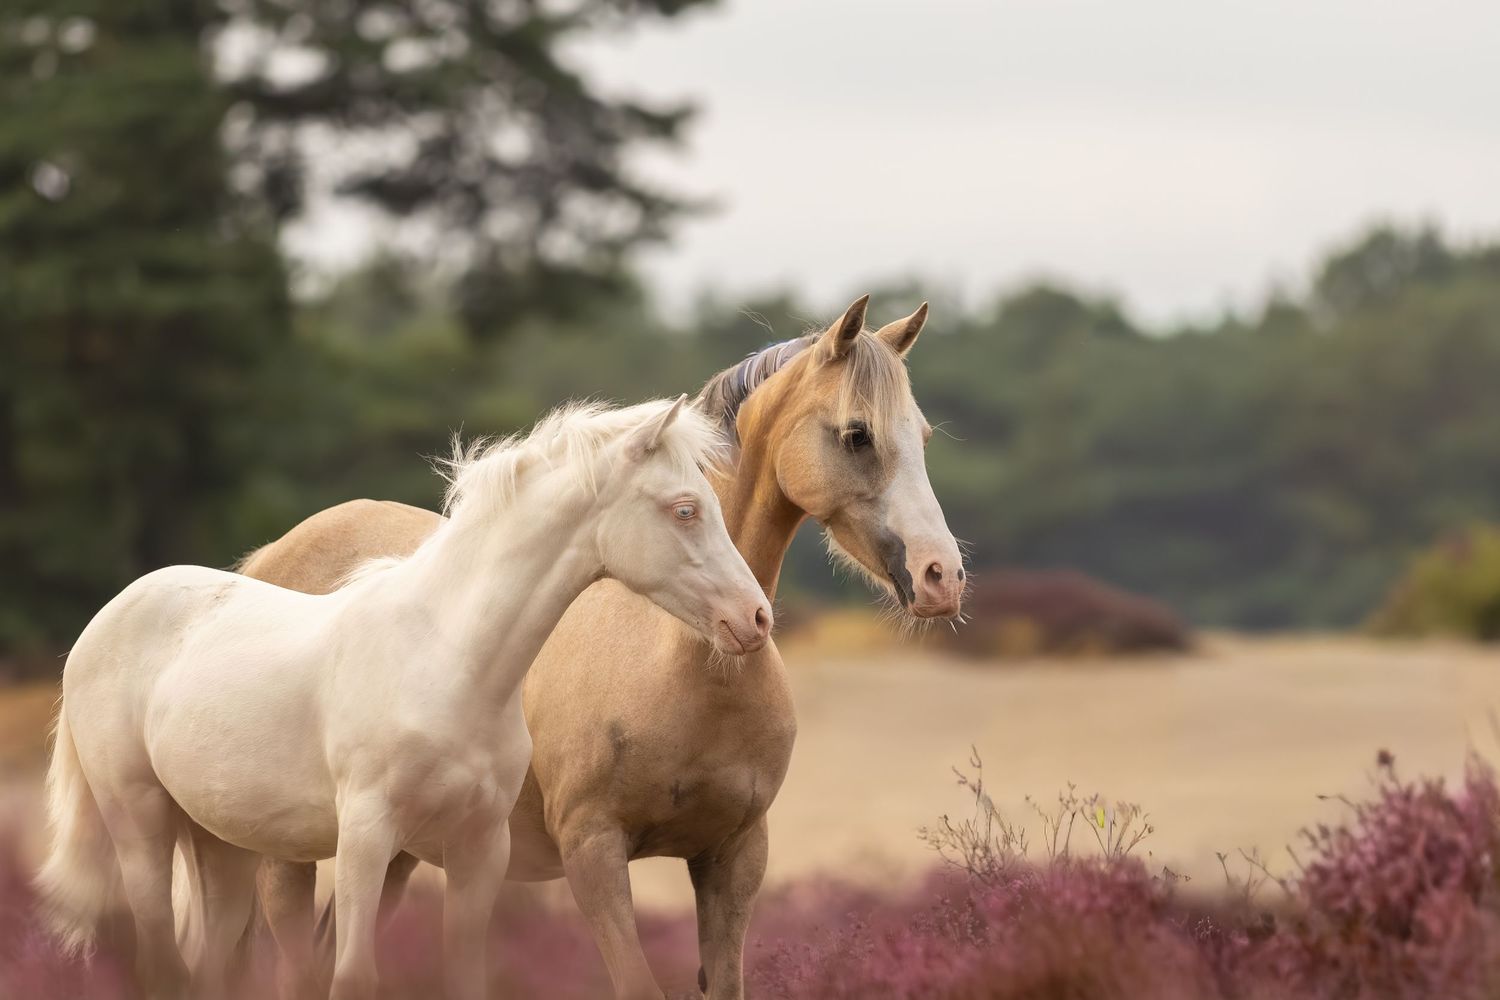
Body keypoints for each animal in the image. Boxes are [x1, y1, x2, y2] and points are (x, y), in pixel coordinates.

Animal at [36, 397, 773, 1000]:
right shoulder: (368, 839)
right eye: (684, 509)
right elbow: (354, 978)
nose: (756, 618)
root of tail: (107, 618)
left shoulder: (479, 847)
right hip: (140, 822)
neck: (448, 659)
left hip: (220, 845)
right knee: (163, 963)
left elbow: (465, 978)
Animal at [240, 295, 965, 999]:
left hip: (395, 853)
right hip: (296, 859)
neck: (681, 664)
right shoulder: (593, 854)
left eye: (925, 436)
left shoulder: (734, 856)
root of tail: (269, 556)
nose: (941, 576)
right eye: (857, 434)